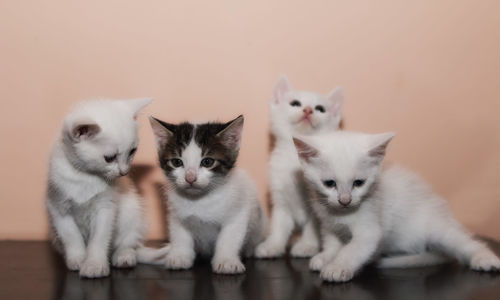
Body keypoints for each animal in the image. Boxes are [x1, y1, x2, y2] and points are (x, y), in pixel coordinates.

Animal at [47, 99, 171, 278]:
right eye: (109, 158)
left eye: (132, 151)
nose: (124, 172)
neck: (86, 176)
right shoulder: (57, 207)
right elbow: (71, 235)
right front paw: (78, 259)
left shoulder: (106, 207)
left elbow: (99, 239)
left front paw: (94, 264)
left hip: (133, 212)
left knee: (129, 243)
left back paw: (124, 256)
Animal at [148, 115, 266, 274]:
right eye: (177, 162)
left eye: (208, 162)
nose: (190, 178)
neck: (200, 200)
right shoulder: (176, 215)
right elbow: (180, 236)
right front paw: (180, 257)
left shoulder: (238, 211)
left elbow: (229, 238)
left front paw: (226, 261)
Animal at [256, 75, 346, 258]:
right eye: (295, 103)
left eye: (320, 108)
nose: (308, 110)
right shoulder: (280, 199)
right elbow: (279, 225)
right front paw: (273, 245)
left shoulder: (317, 204)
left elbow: (312, 226)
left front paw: (307, 245)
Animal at [292, 131, 500, 282]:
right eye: (329, 183)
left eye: (358, 183)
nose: (345, 200)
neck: (341, 214)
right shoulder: (329, 225)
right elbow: (333, 245)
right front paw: (325, 257)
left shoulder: (370, 230)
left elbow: (351, 250)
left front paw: (337, 267)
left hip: (438, 228)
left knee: (465, 242)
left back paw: (485, 259)